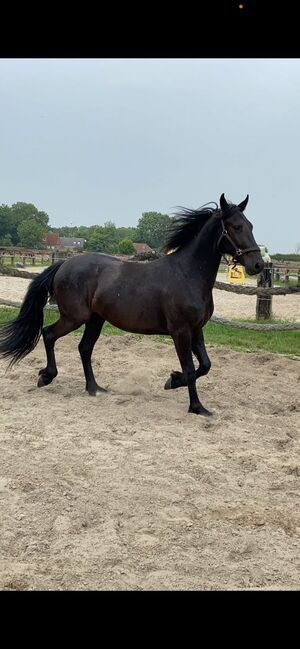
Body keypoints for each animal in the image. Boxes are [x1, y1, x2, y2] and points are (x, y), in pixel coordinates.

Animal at [0, 192, 262, 416]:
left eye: (251, 225)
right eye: (236, 226)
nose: (257, 264)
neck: (187, 275)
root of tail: (63, 264)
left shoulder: (196, 329)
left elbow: (205, 365)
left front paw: (172, 381)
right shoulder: (180, 332)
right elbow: (190, 369)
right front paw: (197, 407)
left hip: (95, 319)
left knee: (84, 348)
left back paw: (94, 388)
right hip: (75, 317)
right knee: (48, 334)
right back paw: (46, 376)